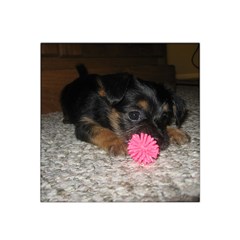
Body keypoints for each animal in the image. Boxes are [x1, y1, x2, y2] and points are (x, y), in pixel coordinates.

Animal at [60, 64, 189, 156]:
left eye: (165, 116)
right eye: (134, 115)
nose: (160, 142)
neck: (103, 107)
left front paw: (175, 131)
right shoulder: (84, 124)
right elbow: (101, 130)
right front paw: (117, 142)